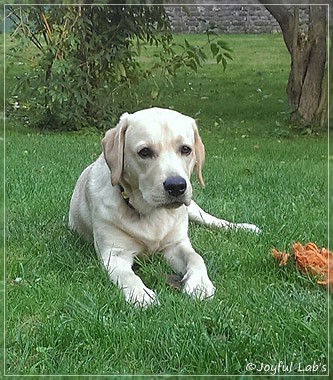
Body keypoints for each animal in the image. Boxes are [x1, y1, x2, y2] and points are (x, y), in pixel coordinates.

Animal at [68, 106, 260, 306]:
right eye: (144, 152)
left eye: (186, 149)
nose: (176, 186)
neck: (151, 213)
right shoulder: (115, 254)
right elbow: (127, 276)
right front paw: (140, 295)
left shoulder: (177, 244)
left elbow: (196, 257)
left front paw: (200, 284)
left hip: (192, 209)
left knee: (211, 219)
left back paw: (244, 227)